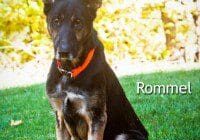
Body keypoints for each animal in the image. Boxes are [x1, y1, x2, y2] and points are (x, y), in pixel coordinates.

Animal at [43, 0, 148, 139]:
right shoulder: (60, 117)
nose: (63, 52)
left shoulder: (96, 117)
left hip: (124, 135)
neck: (70, 71)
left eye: (78, 22)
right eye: (56, 21)